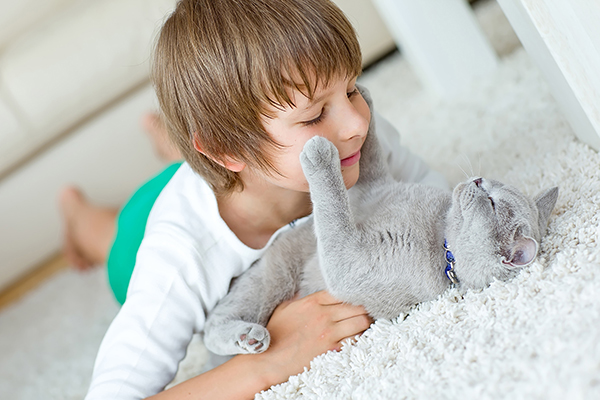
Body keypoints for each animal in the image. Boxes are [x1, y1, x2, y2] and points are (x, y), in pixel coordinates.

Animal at [203, 89, 556, 354]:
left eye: (492, 203)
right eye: (492, 186)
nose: (478, 180)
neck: (438, 231)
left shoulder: (348, 261)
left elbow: (334, 207)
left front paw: (319, 153)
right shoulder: (372, 184)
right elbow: (368, 155)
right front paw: (362, 98)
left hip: (271, 280)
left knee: (212, 325)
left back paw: (249, 338)